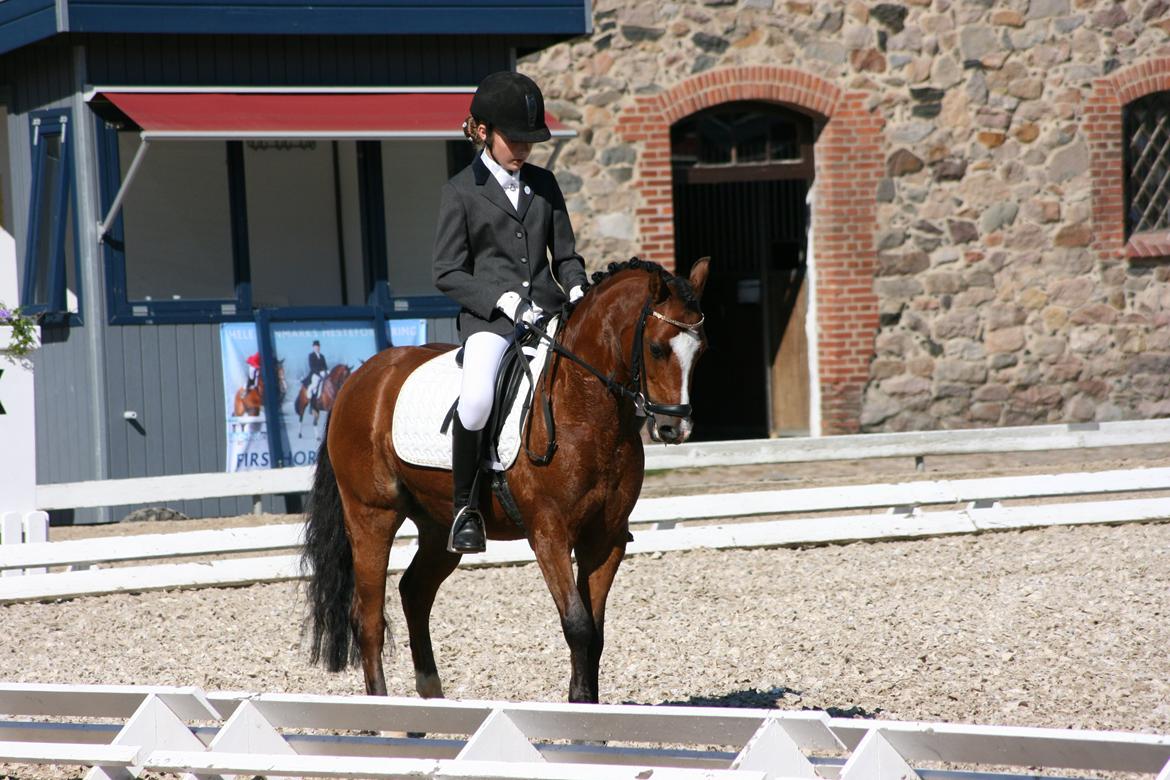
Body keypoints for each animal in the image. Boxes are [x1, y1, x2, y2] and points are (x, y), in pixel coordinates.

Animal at [301, 258, 709, 704]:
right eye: (656, 348)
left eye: (701, 350)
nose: (675, 427)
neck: (587, 410)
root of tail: (359, 379)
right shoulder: (548, 534)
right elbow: (578, 626)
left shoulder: (606, 539)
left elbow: (596, 635)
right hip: (372, 516)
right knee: (369, 617)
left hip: (439, 526)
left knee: (415, 592)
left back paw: (432, 698)